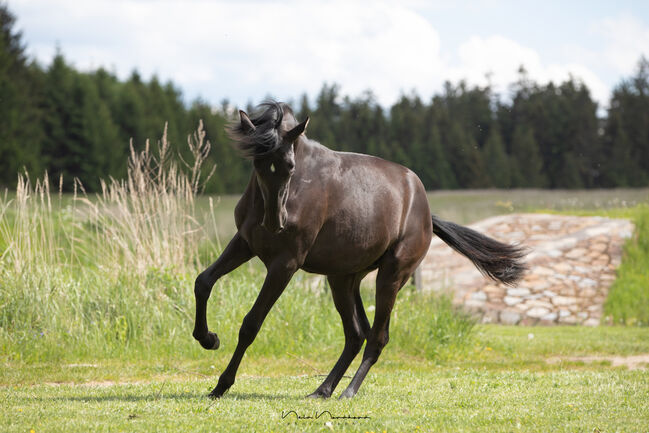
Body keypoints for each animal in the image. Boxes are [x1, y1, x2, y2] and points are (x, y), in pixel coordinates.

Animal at [191, 99, 528, 396]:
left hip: (391, 276)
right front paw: (208, 338)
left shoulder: (285, 262)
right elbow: (203, 281)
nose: (277, 222)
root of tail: (426, 213)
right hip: (343, 278)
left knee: (377, 337)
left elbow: (251, 323)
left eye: (289, 166)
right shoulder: (245, 243)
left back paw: (348, 392)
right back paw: (322, 390)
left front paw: (221, 384)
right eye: (258, 163)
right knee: (356, 333)